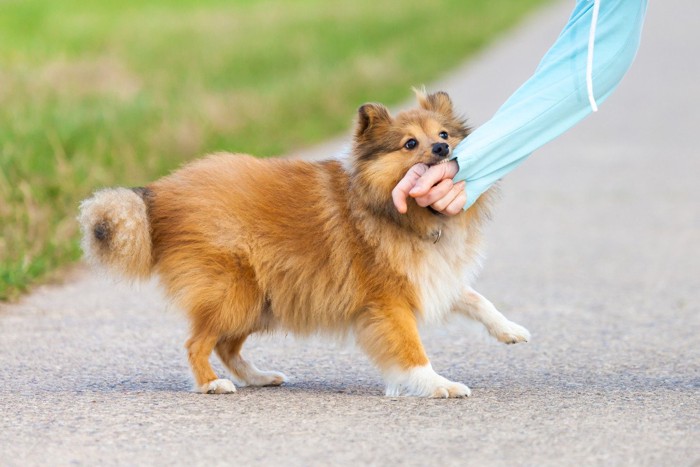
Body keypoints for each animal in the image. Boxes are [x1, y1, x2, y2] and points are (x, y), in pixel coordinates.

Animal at [79, 91, 528, 398]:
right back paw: (212, 385)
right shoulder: (389, 301)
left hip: (261, 301)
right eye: (410, 144)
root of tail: (158, 194)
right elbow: (412, 350)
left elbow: (475, 298)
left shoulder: (430, 277)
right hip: (234, 292)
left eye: (444, 133)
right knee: (198, 343)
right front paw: (439, 385)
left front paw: (509, 330)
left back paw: (259, 377)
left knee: (225, 345)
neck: (396, 210)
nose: (442, 148)